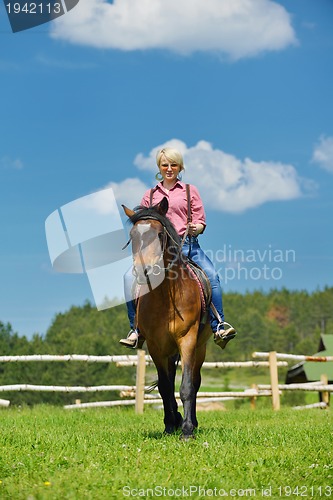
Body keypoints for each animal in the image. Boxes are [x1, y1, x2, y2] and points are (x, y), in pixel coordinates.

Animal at [122, 197, 210, 440]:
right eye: (132, 236)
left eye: (160, 234)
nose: (145, 270)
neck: (166, 298)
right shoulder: (155, 346)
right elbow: (164, 387)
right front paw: (171, 424)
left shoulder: (187, 340)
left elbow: (187, 386)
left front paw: (187, 431)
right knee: (169, 383)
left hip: (200, 347)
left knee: (196, 381)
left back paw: (193, 422)